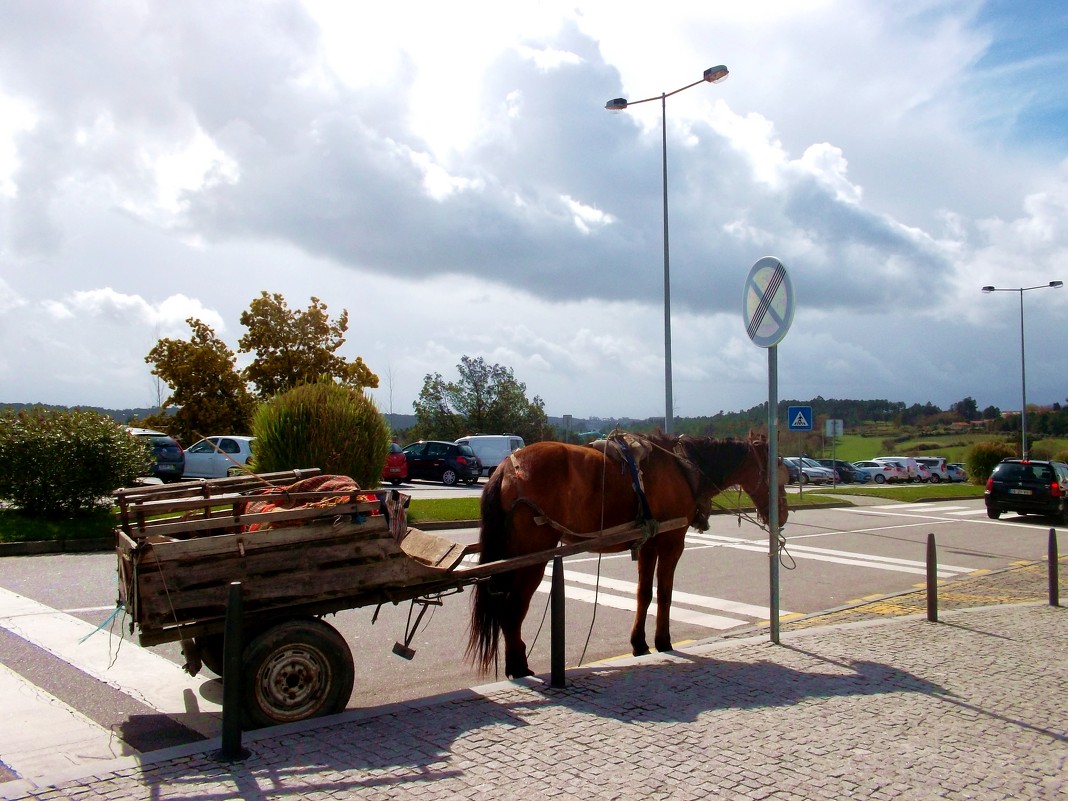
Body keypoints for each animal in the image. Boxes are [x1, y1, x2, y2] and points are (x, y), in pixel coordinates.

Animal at [465, 433, 786, 679]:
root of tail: (506, 467)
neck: (681, 467)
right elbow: (665, 593)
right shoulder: (671, 543)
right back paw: (519, 666)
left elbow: (644, 593)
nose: (781, 513)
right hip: (533, 555)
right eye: (777, 468)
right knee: (513, 607)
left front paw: (639, 643)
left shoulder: (648, 544)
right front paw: (663, 641)